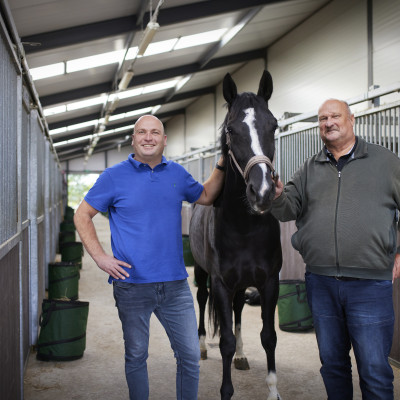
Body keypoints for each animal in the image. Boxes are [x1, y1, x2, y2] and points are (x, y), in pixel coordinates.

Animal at [190, 70, 282, 398]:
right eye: (231, 129)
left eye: (274, 125)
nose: (263, 192)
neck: (245, 228)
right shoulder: (220, 282)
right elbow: (226, 340)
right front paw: (226, 391)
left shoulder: (269, 281)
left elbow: (268, 336)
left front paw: (273, 391)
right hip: (202, 273)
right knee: (201, 300)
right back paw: (202, 347)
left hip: (242, 285)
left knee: (240, 309)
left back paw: (242, 356)